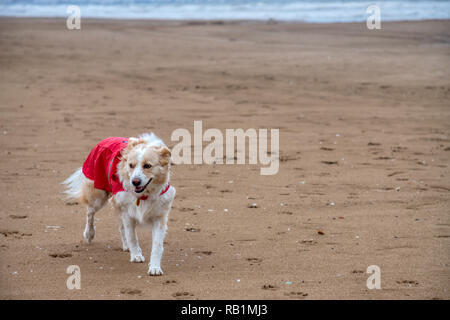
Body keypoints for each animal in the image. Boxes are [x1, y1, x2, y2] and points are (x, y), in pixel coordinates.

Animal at [62, 132, 175, 276]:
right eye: (131, 165)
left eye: (147, 166)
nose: (135, 182)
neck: (143, 195)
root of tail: (108, 138)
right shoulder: (128, 212)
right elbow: (132, 236)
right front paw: (136, 255)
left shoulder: (159, 217)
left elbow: (157, 245)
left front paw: (154, 267)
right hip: (99, 196)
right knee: (90, 212)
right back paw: (89, 233)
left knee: (121, 227)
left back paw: (126, 246)